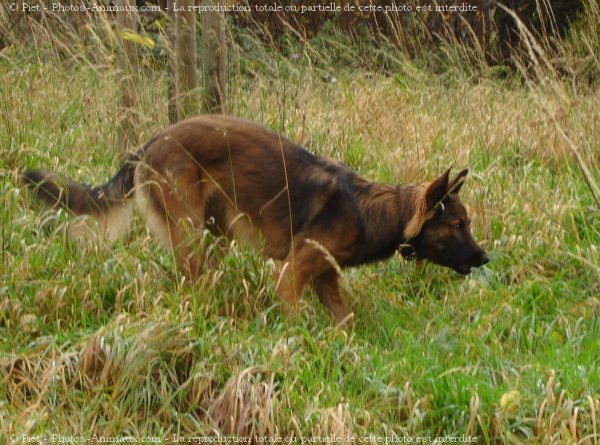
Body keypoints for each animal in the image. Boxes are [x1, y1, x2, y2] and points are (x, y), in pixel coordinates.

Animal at [23, 113, 490, 322]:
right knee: (188, 286)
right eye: (458, 226)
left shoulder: (327, 279)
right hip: (191, 233)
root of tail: (150, 142)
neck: (375, 211)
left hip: (216, 233)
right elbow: (296, 316)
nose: (486, 258)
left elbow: (345, 320)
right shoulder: (291, 274)